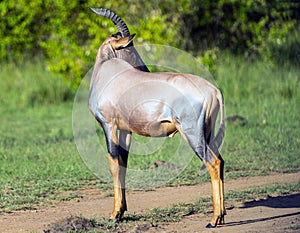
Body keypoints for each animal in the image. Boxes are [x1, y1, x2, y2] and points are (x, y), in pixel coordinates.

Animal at [88, 11, 226, 228]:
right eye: (129, 46)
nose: (145, 69)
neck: (109, 73)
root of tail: (213, 90)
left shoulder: (108, 125)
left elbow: (113, 162)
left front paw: (114, 214)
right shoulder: (125, 129)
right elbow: (123, 162)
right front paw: (122, 211)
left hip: (192, 133)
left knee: (212, 163)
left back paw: (213, 219)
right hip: (208, 132)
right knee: (220, 161)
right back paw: (221, 216)